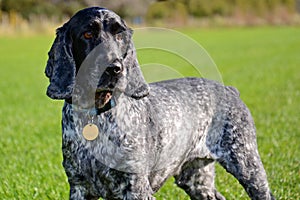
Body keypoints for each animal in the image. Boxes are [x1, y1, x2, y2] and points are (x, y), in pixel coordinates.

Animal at [45, 6, 274, 200]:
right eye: (87, 34)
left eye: (120, 35)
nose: (115, 68)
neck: (96, 115)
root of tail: (230, 89)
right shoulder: (79, 187)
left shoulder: (136, 187)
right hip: (196, 180)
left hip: (247, 163)